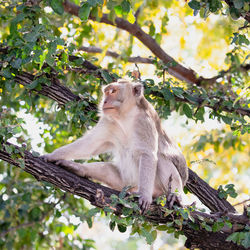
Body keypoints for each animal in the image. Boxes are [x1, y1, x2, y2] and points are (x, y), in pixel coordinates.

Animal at [42, 78, 188, 211]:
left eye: (113, 91)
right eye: (106, 92)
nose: (104, 101)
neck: (125, 117)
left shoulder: (145, 121)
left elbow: (148, 155)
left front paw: (144, 196)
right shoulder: (108, 121)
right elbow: (90, 145)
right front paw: (53, 155)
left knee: (161, 159)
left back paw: (174, 196)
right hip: (126, 182)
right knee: (109, 170)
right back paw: (77, 168)